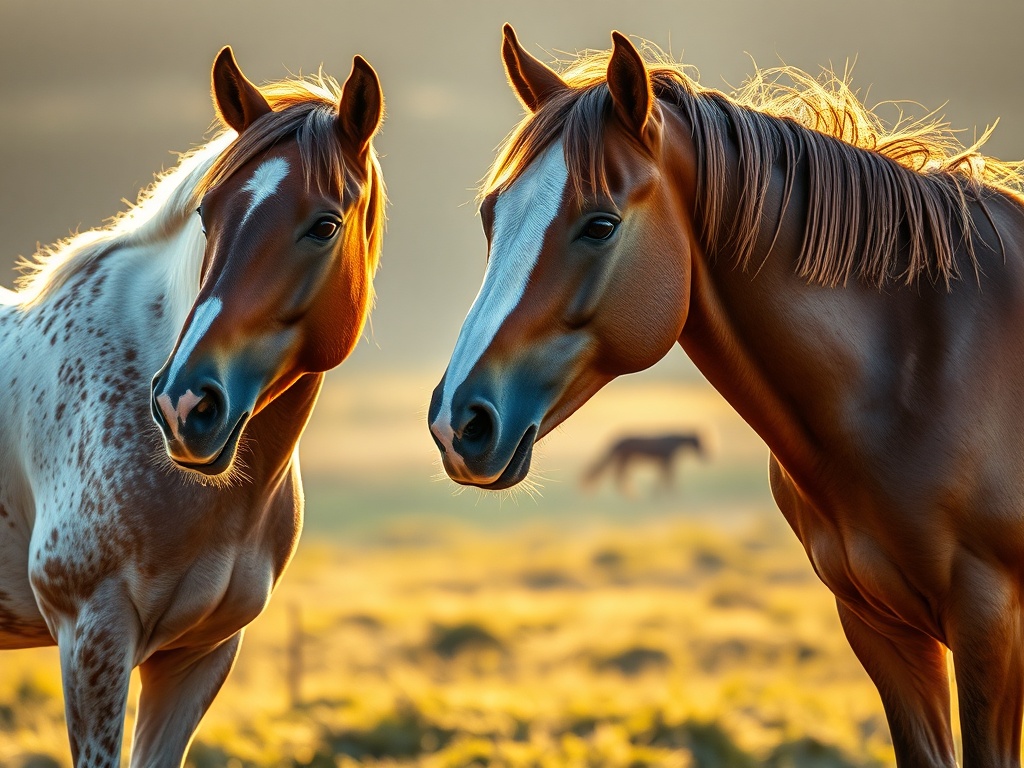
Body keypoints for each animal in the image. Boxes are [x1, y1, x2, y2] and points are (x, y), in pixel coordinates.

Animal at [428, 24, 1024, 766]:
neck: (923, 370)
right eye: (491, 215)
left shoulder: (991, 625)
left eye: (600, 224)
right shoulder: (881, 627)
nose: (459, 424)